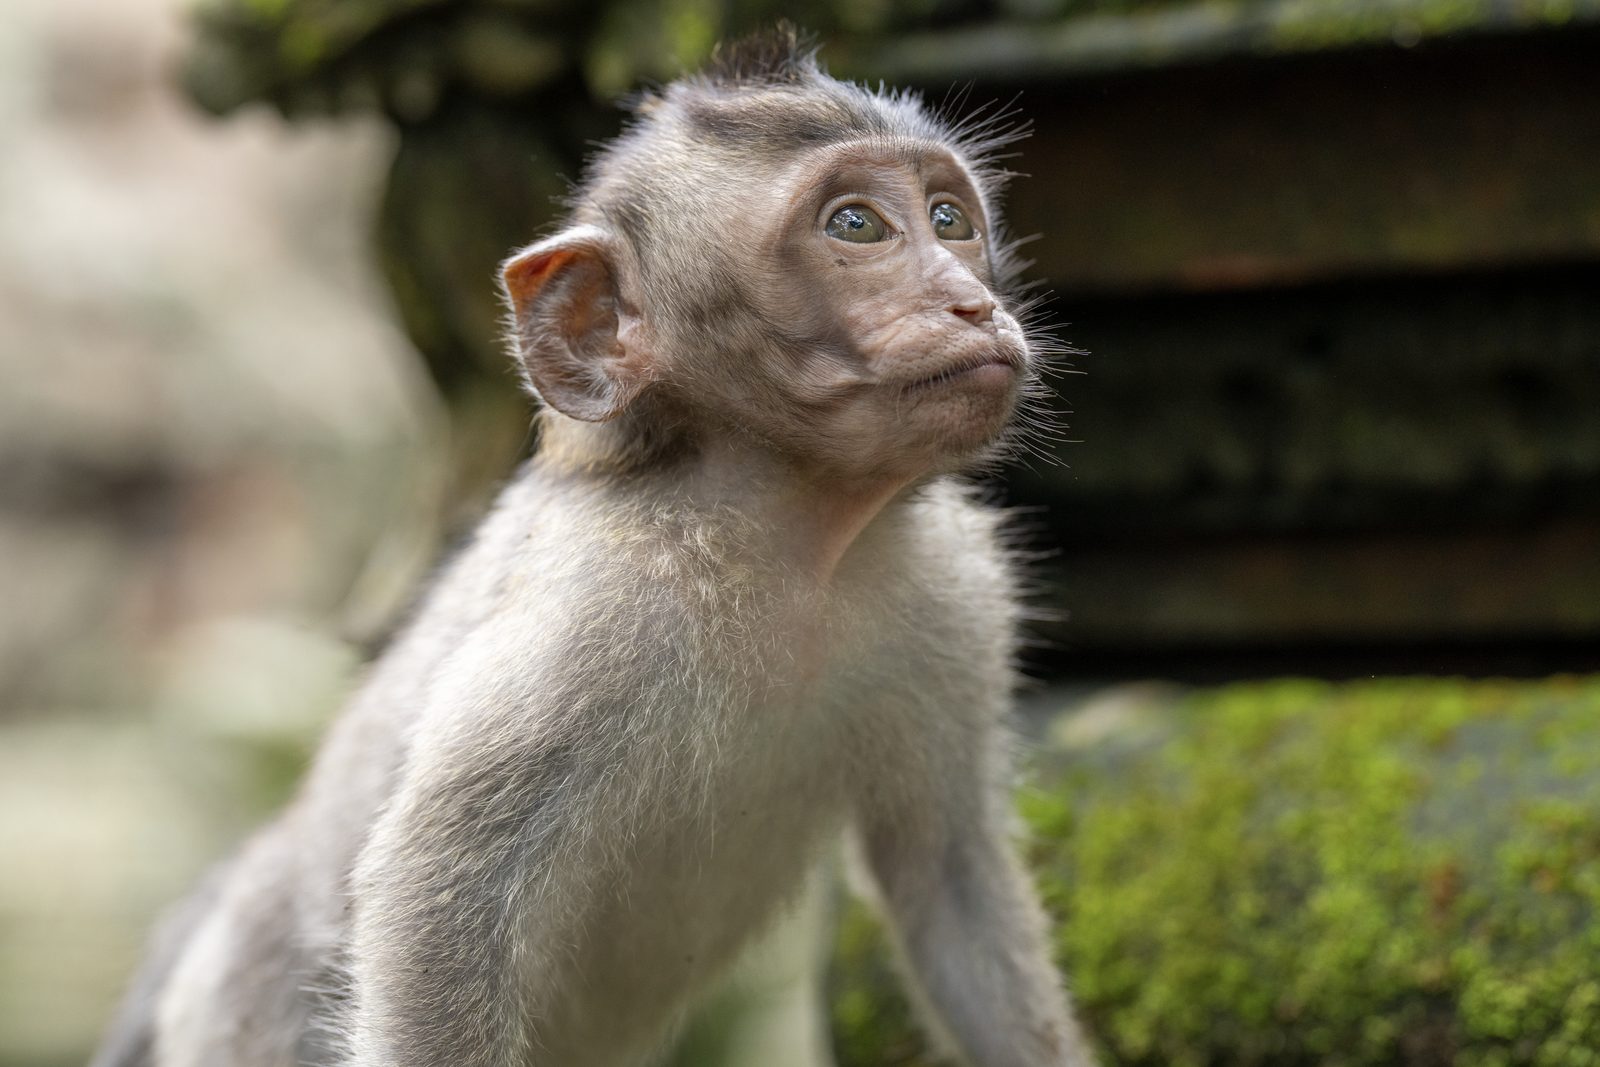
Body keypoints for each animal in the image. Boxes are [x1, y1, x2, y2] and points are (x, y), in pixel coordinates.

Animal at [90, 27, 1094, 1067]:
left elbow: (949, 877)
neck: (791, 540)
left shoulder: (959, 592)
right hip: (240, 1012)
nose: (970, 302)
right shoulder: (591, 617)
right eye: (857, 226)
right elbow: (432, 894)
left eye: (949, 218)